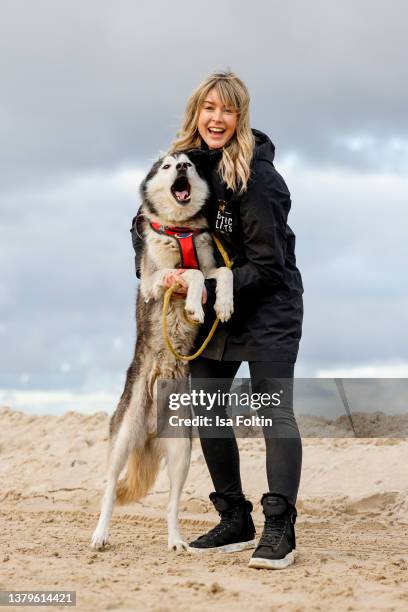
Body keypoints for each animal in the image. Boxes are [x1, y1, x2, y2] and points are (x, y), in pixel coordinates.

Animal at [91, 151, 234, 552]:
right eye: (168, 166)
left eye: (188, 163)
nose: (182, 167)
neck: (180, 230)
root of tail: (151, 429)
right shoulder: (156, 281)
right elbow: (190, 275)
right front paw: (197, 308)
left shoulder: (212, 263)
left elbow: (222, 274)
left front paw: (223, 305)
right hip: (123, 437)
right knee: (109, 490)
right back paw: (100, 535)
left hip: (182, 450)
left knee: (172, 503)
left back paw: (176, 541)